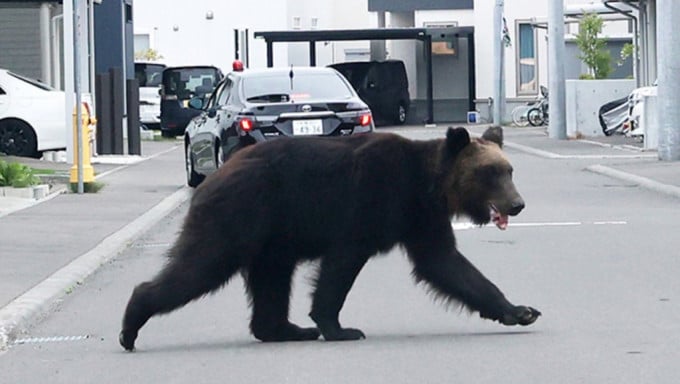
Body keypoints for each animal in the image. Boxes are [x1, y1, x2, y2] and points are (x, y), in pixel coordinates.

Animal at [118, 127, 540, 352]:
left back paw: (285, 329)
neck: (425, 184)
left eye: (509, 169)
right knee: (201, 265)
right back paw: (131, 324)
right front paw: (339, 327)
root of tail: (212, 177)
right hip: (240, 215)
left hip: (273, 239)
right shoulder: (369, 201)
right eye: (491, 172)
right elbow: (340, 269)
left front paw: (520, 310)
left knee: (271, 281)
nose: (517, 204)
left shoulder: (420, 218)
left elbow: (446, 264)